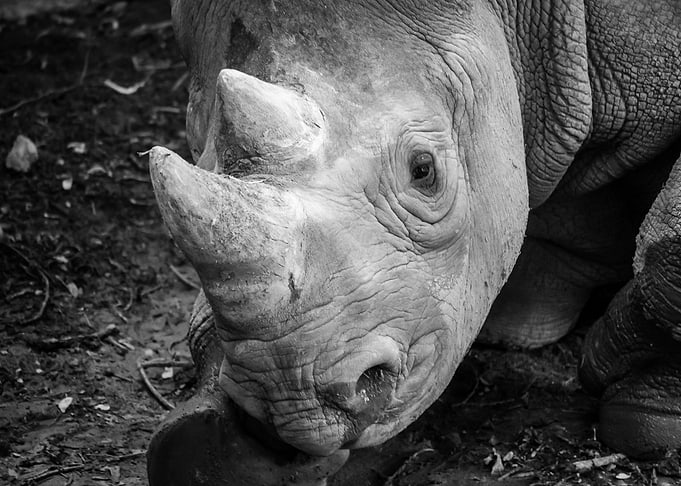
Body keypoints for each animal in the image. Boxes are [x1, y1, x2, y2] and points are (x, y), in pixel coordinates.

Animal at [146, 0, 681, 484]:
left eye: (424, 171)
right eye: (198, 155)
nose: (287, 394)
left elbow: (668, 257)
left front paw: (635, 408)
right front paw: (212, 448)